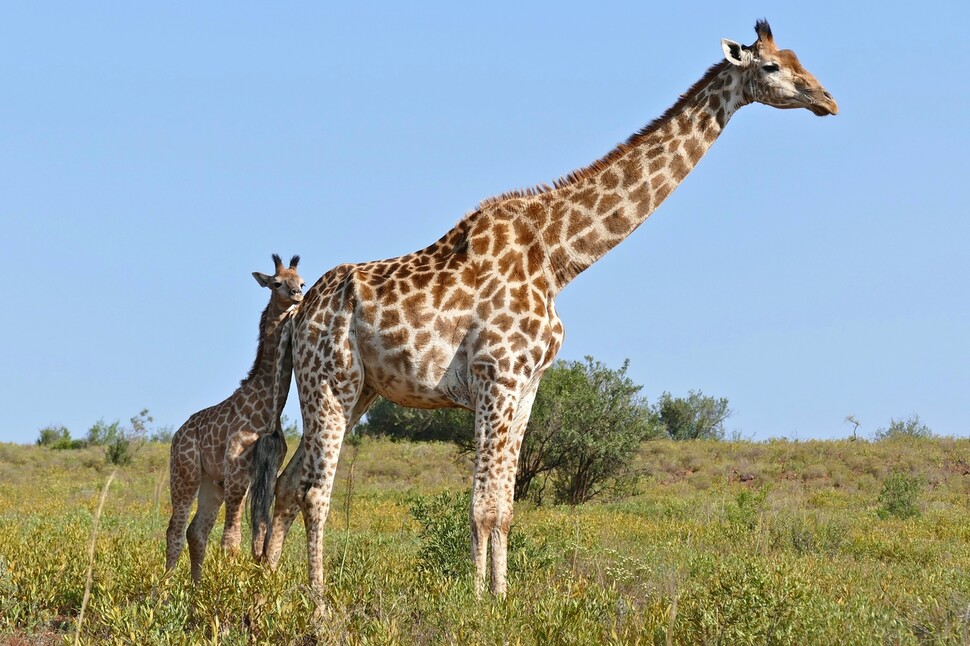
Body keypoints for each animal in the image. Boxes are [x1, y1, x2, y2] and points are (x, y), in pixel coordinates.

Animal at [260, 19, 840, 596]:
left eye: (798, 58)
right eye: (772, 66)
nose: (828, 100)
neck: (558, 258)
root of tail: (298, 317)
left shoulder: (526, 386)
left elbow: (506, 508)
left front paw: (502, 598)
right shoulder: (495, 377)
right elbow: (482, 507)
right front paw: (476, 603)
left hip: (358, 389)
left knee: (287, 483)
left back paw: (265, 585)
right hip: (330, 381)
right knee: (314, 490)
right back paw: (317, 601)